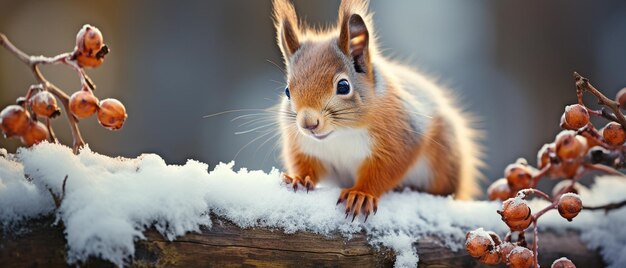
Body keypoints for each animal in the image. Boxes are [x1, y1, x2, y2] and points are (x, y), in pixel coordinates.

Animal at [272, 0, 482, 221]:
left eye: (343, 86)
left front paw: (361, 194)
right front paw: (299, 178)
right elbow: (306, 165)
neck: (340, 135)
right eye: (287, 91)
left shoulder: (401, 136)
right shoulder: (303, 146)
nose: (308, 124)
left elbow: (384, 170)